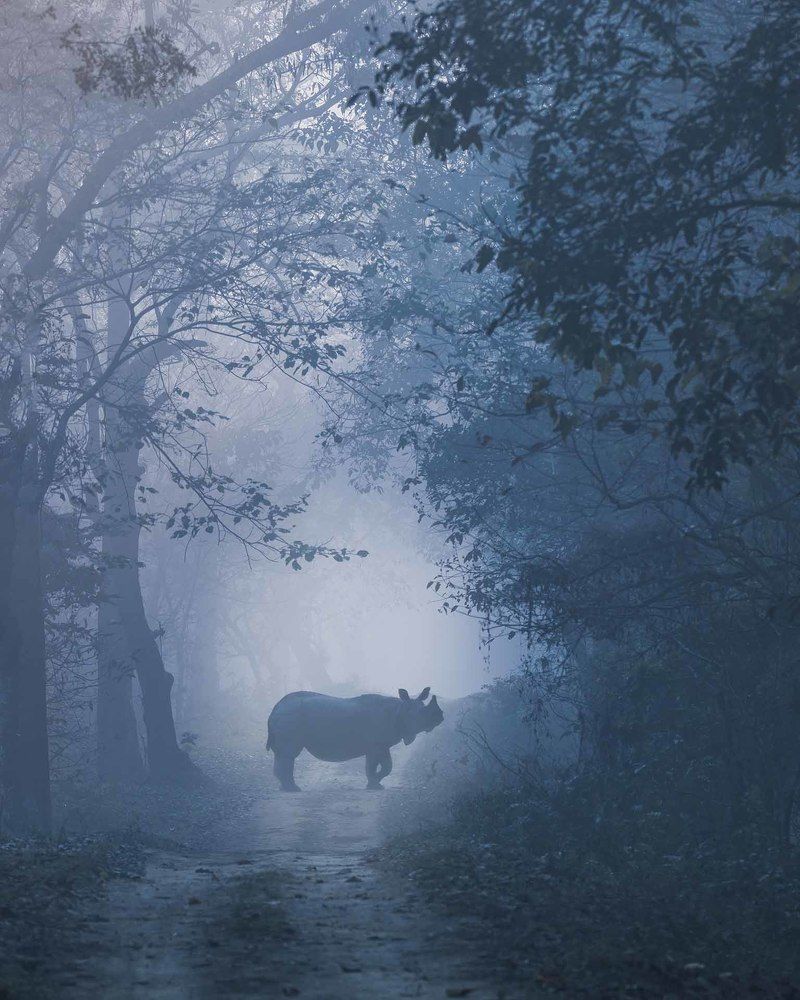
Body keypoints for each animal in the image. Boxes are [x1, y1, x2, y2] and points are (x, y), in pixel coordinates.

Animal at [266, 687, 444, 791]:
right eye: (422, 714)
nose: (440, 717)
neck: (401, 709)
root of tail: (275, 707)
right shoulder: (375, 744)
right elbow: (377, 766)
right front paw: (374, 785)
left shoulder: (382, 744)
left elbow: (386, 766)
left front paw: (376, 784)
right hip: (291, 716)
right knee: (289, 754)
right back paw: (293, 789)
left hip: (288, 715)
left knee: (282, 754)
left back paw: (285, 788)